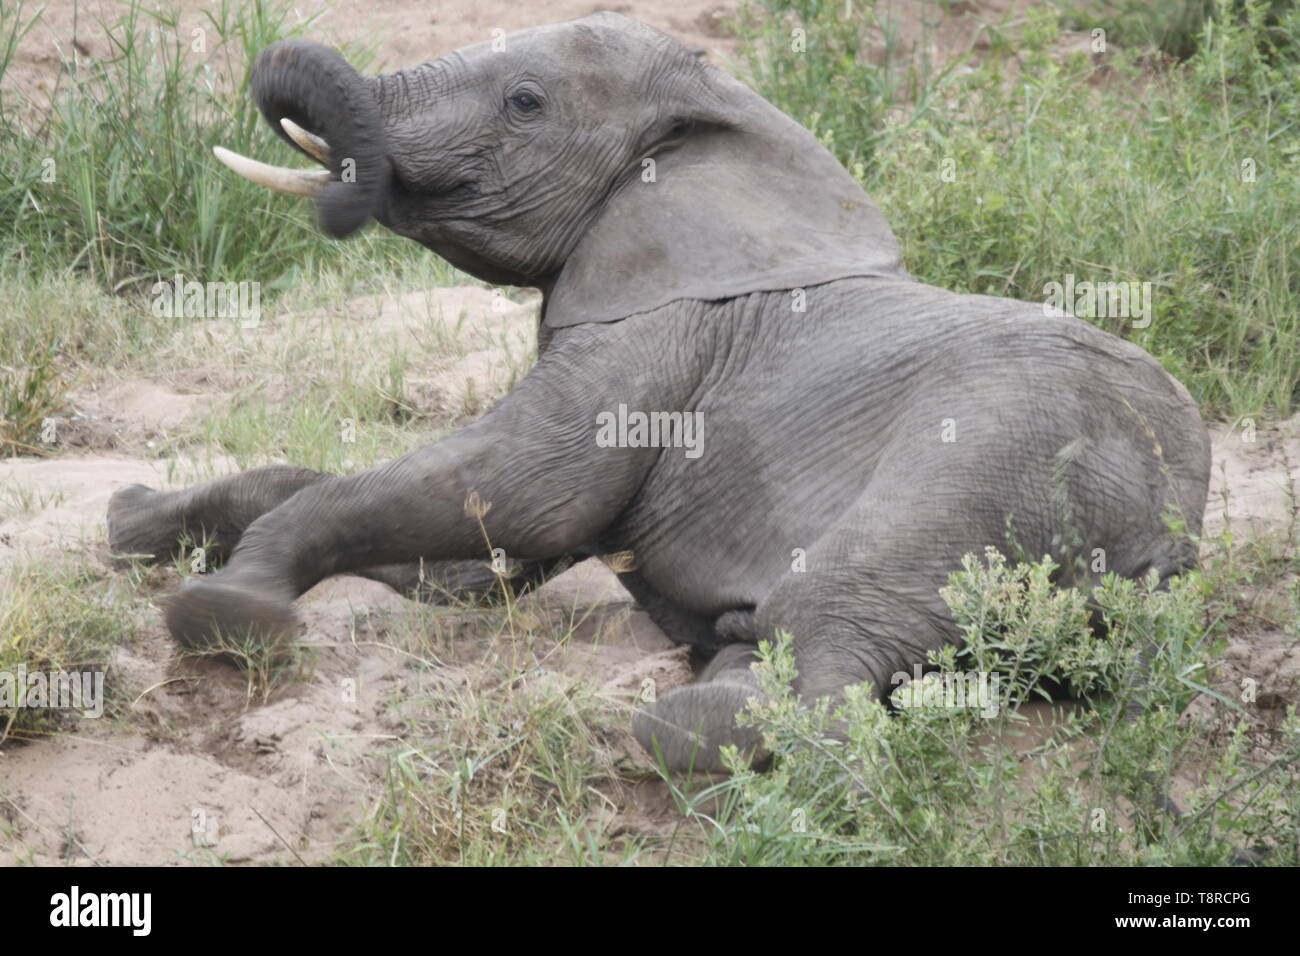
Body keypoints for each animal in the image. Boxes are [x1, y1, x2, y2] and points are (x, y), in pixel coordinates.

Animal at [106, 13, 1211, 780]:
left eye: (524, 102)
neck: (736, 114)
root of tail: (1174, 538)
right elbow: (472, 561)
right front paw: (134, 521)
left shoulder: (659, 348)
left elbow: (523, 493)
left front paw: (226, 607)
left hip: (1005, 444)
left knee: (838, 605)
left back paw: (692, 729)